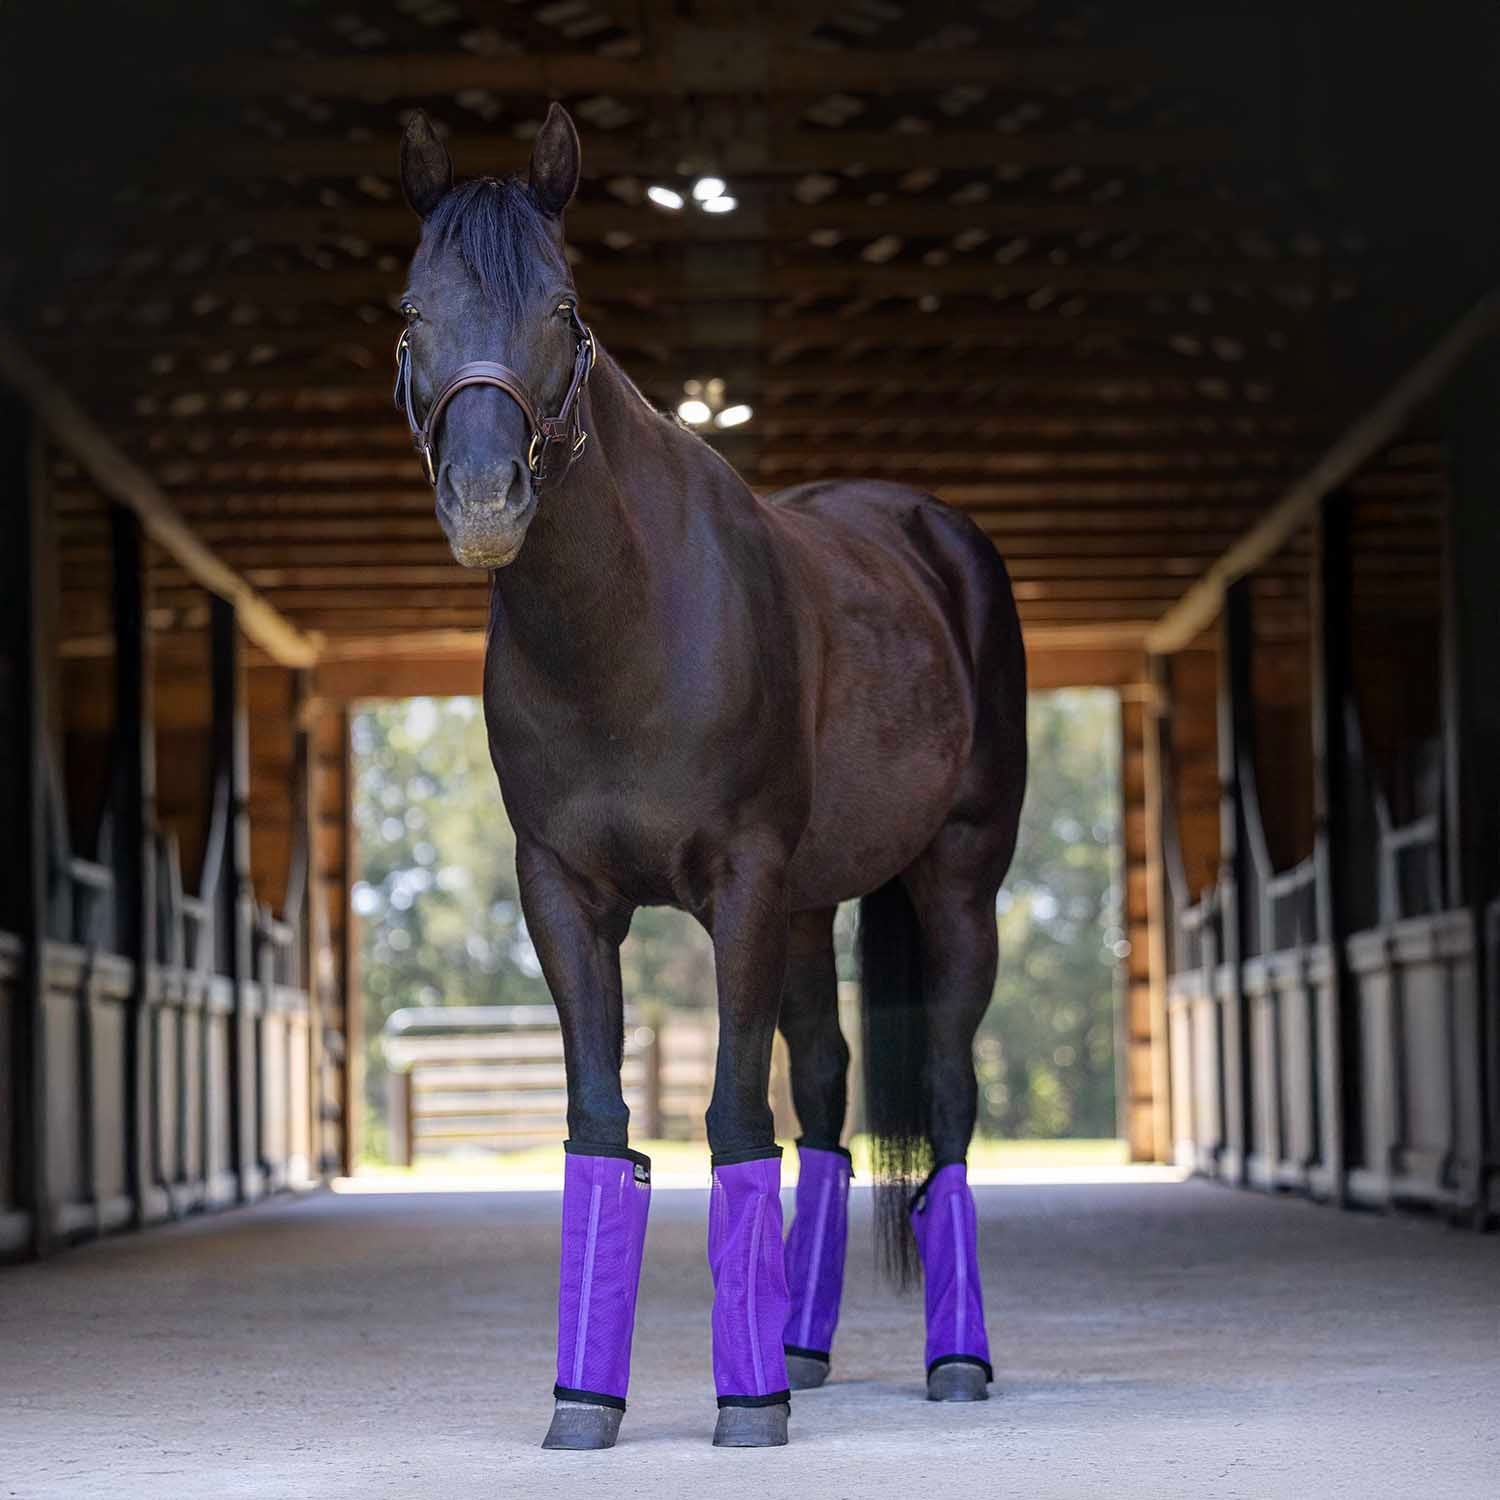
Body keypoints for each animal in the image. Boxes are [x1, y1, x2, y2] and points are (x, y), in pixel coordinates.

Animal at [394, 104, 1027, 1450]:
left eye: (566, 308)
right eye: (414, 311)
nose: (485, 501)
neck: (624, 630)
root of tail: (933, 533)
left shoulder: (740, 883)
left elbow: (736, 1119)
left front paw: (747, 1407)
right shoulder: (565, 895)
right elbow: (600, 1124)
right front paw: (586, 1403)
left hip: (956, 884)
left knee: (948, 1097)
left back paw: (953, 1361)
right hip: (811, 905)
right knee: (831, 1097)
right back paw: (801, 1343)